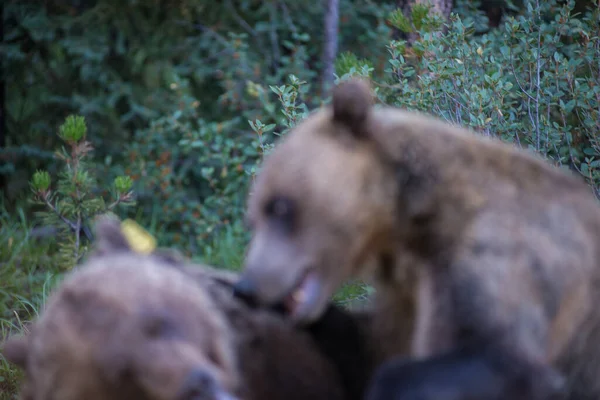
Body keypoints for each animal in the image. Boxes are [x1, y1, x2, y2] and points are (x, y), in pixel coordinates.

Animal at [232, 78, 600, 400]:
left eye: (280, 206)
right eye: (254, 216)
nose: (247, 287)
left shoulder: (496, 256)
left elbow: (507, 362)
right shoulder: (407, 289)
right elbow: (373, 347)